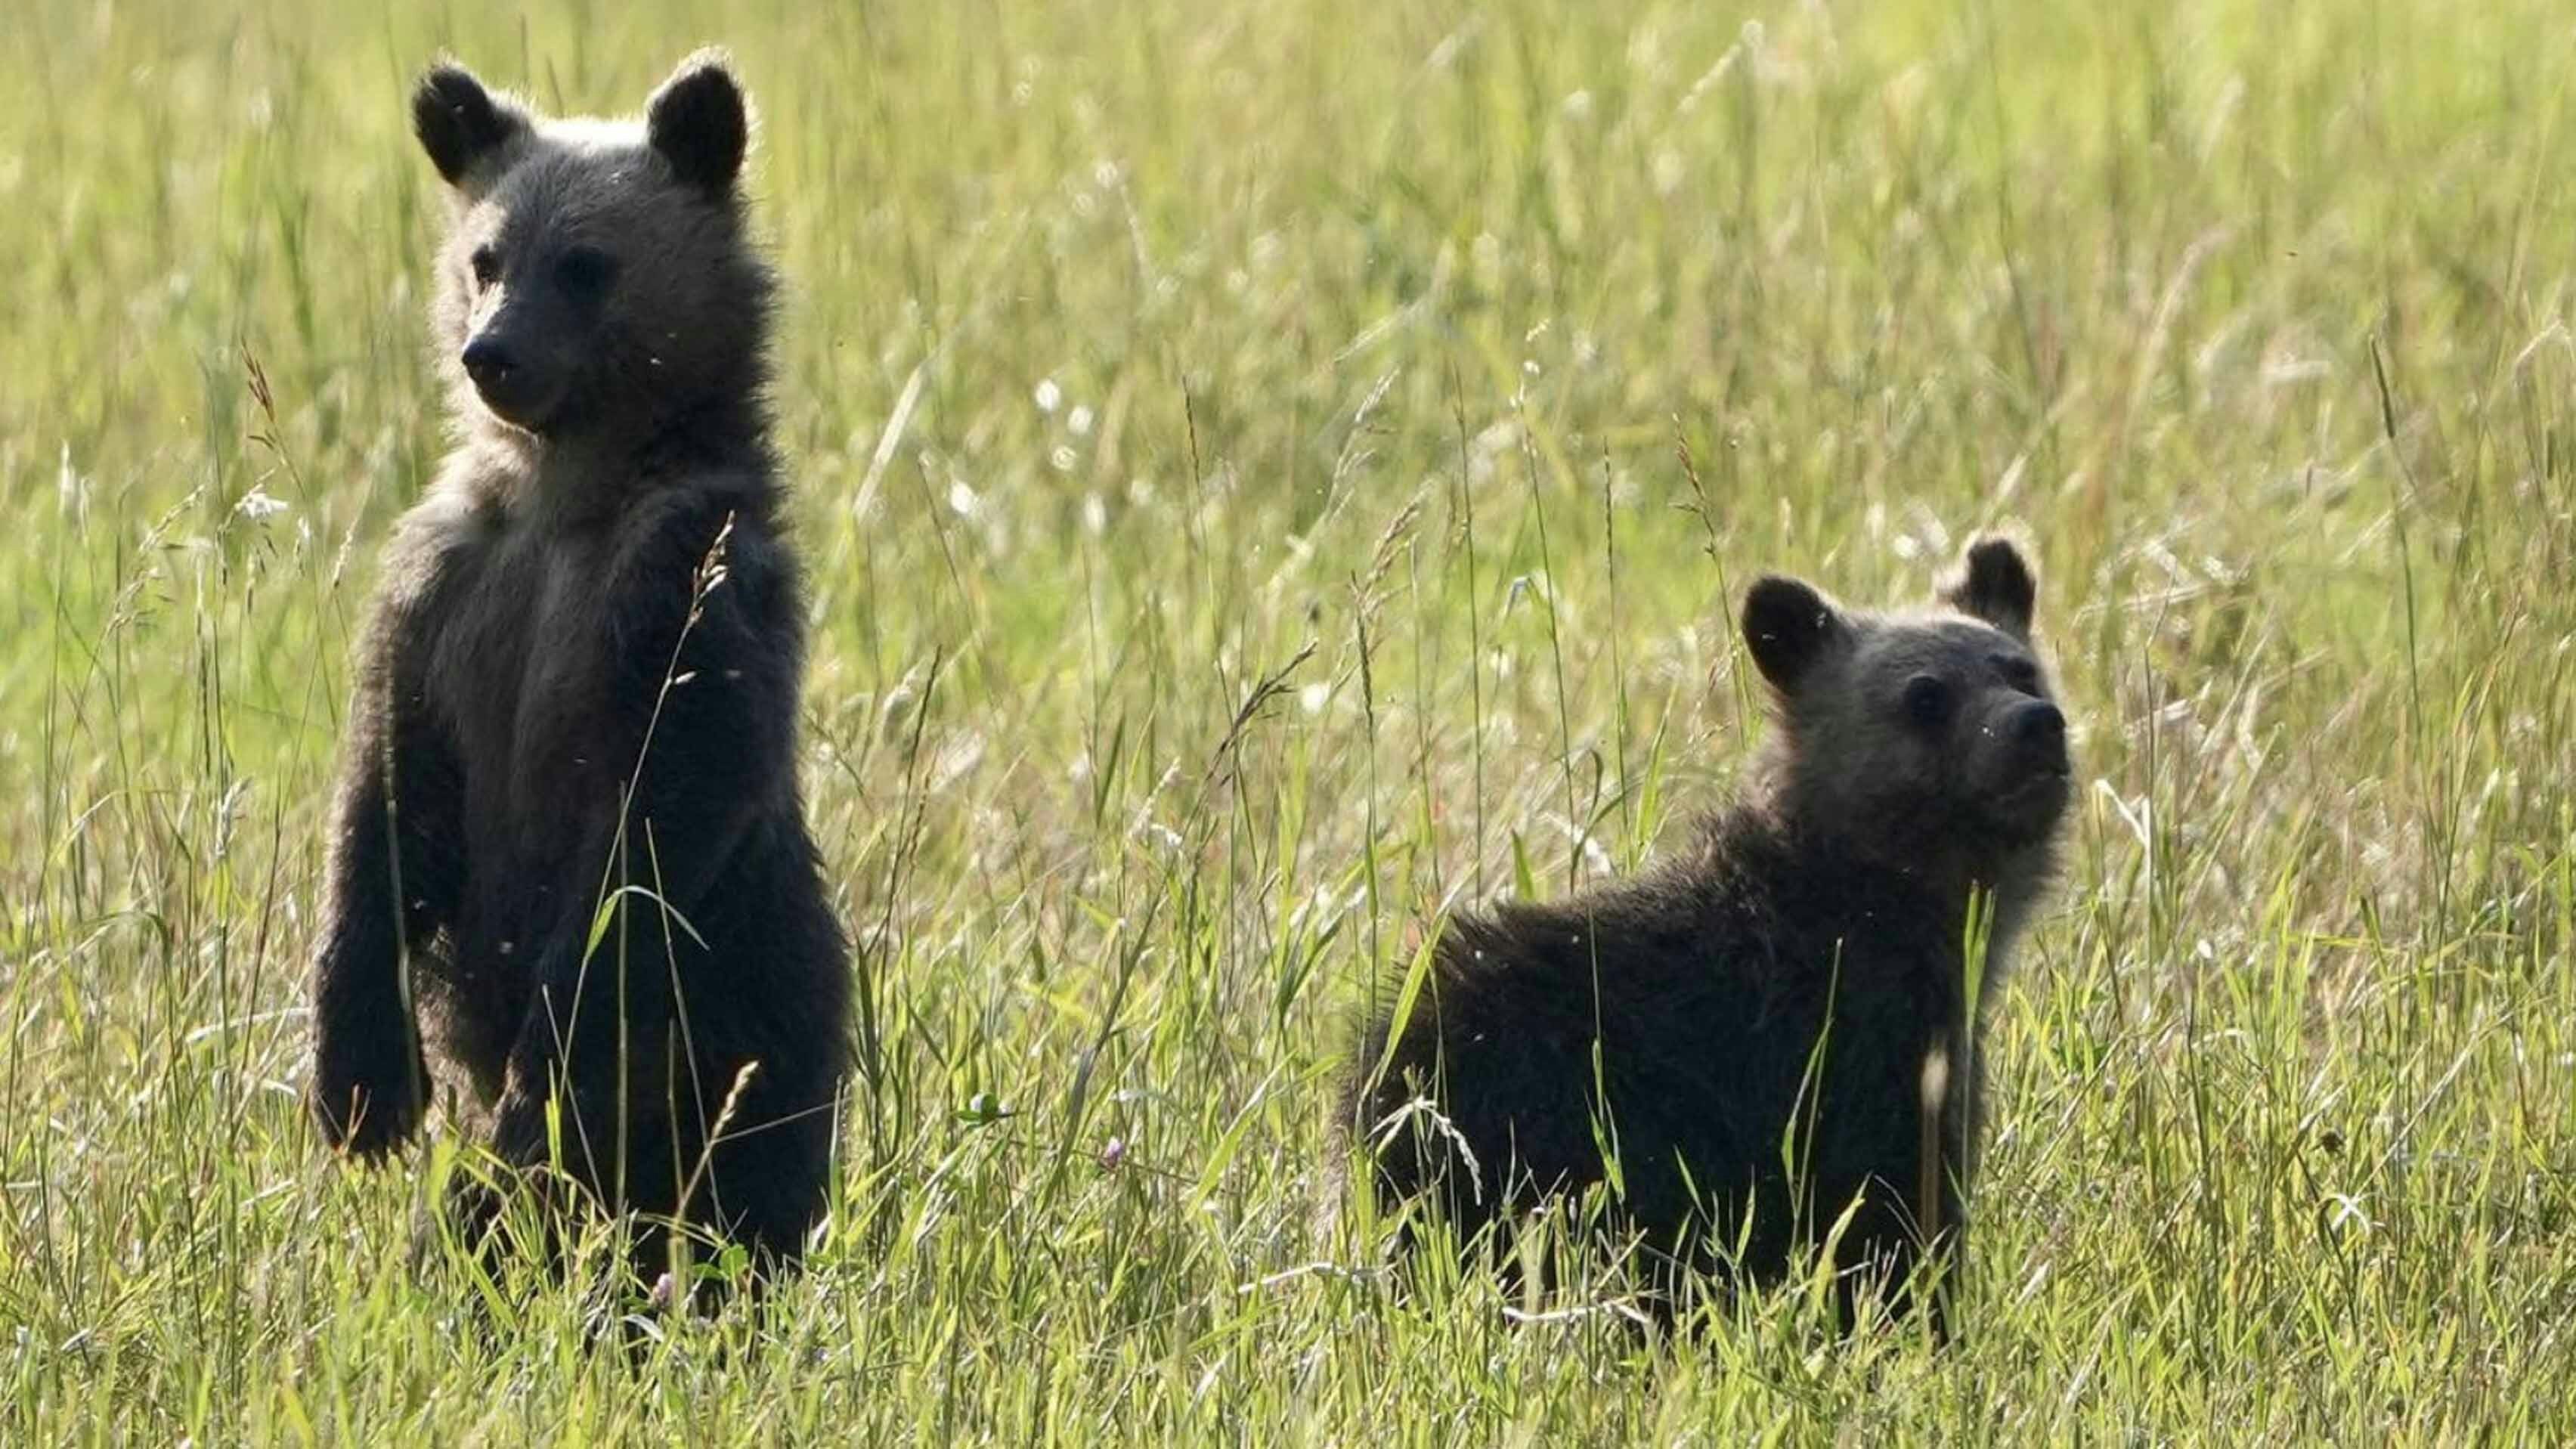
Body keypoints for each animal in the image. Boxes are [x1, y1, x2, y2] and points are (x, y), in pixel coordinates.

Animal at [306, 51, 850, 1286]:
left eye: (588, 262)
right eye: (486, 256)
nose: (492, 353)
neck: (568, 496)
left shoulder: (680, 593)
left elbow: (656, 818)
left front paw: (542, 1047)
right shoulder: (448, 591)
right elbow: (385, 793)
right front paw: (361, 1084)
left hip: (756, 1008)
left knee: (736, 1187)